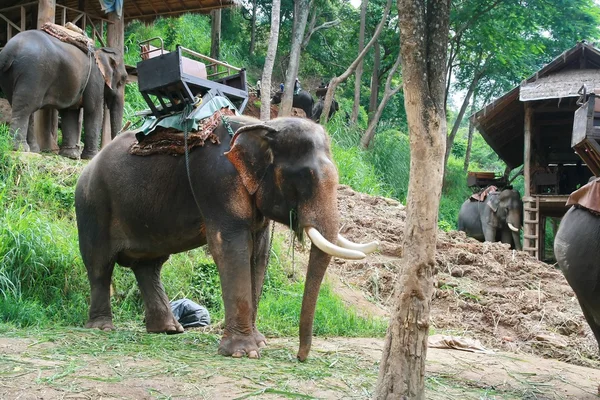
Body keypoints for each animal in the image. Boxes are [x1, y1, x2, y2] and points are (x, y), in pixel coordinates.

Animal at [0, 28, 126, 159]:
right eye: (122, 80)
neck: (100, 51)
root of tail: (9, 52)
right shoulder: (95, 78)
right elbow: (93, 110)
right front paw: (90, 157)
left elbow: (69, 112)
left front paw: (70, 155)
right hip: (32, 72)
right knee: (25, 108)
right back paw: (20, 148)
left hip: (9, 77)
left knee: (23, 107)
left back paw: (33, 150)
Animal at [72, 114, 378, 360]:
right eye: (306, 176)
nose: (300, 357)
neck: (264, 125)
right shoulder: (217, 183)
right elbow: (232, 248)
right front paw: (244, 352)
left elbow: (259, 254)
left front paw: (259, 343)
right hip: (92, 206)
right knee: (99, 264)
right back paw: (102, 327)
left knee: (149, 266)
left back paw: (168, 330)